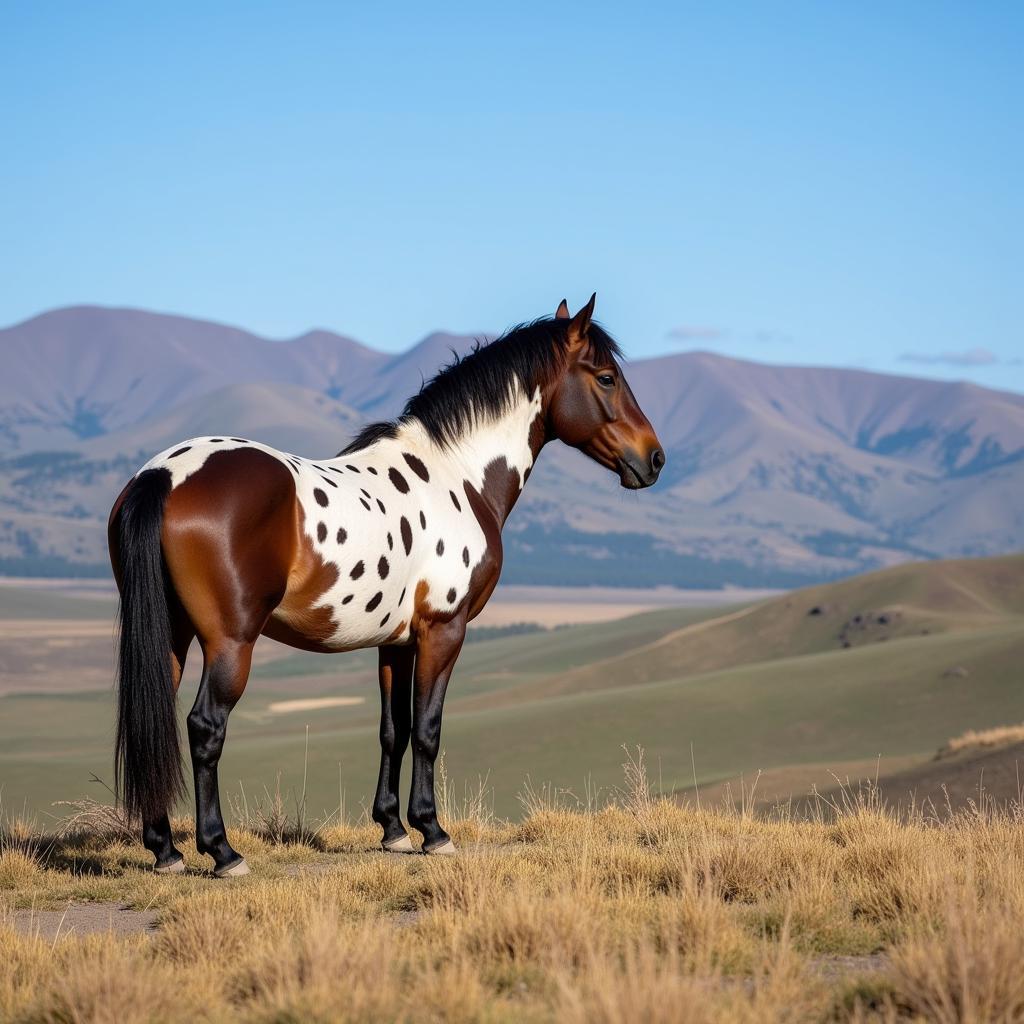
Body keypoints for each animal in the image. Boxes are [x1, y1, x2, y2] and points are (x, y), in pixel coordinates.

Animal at [105, 292, 663, 876]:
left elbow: (393, 729)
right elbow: (428, 729)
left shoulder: (395, 642)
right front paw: (432, 831)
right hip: (230, 643)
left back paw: (166, 850)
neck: (456, 475)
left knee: (157, 724)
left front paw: (393, 829)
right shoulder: (443, 631)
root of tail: (163, 475)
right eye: (606, 378)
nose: (654, 459)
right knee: (204, 727)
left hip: (171, 635)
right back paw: (222, 851)